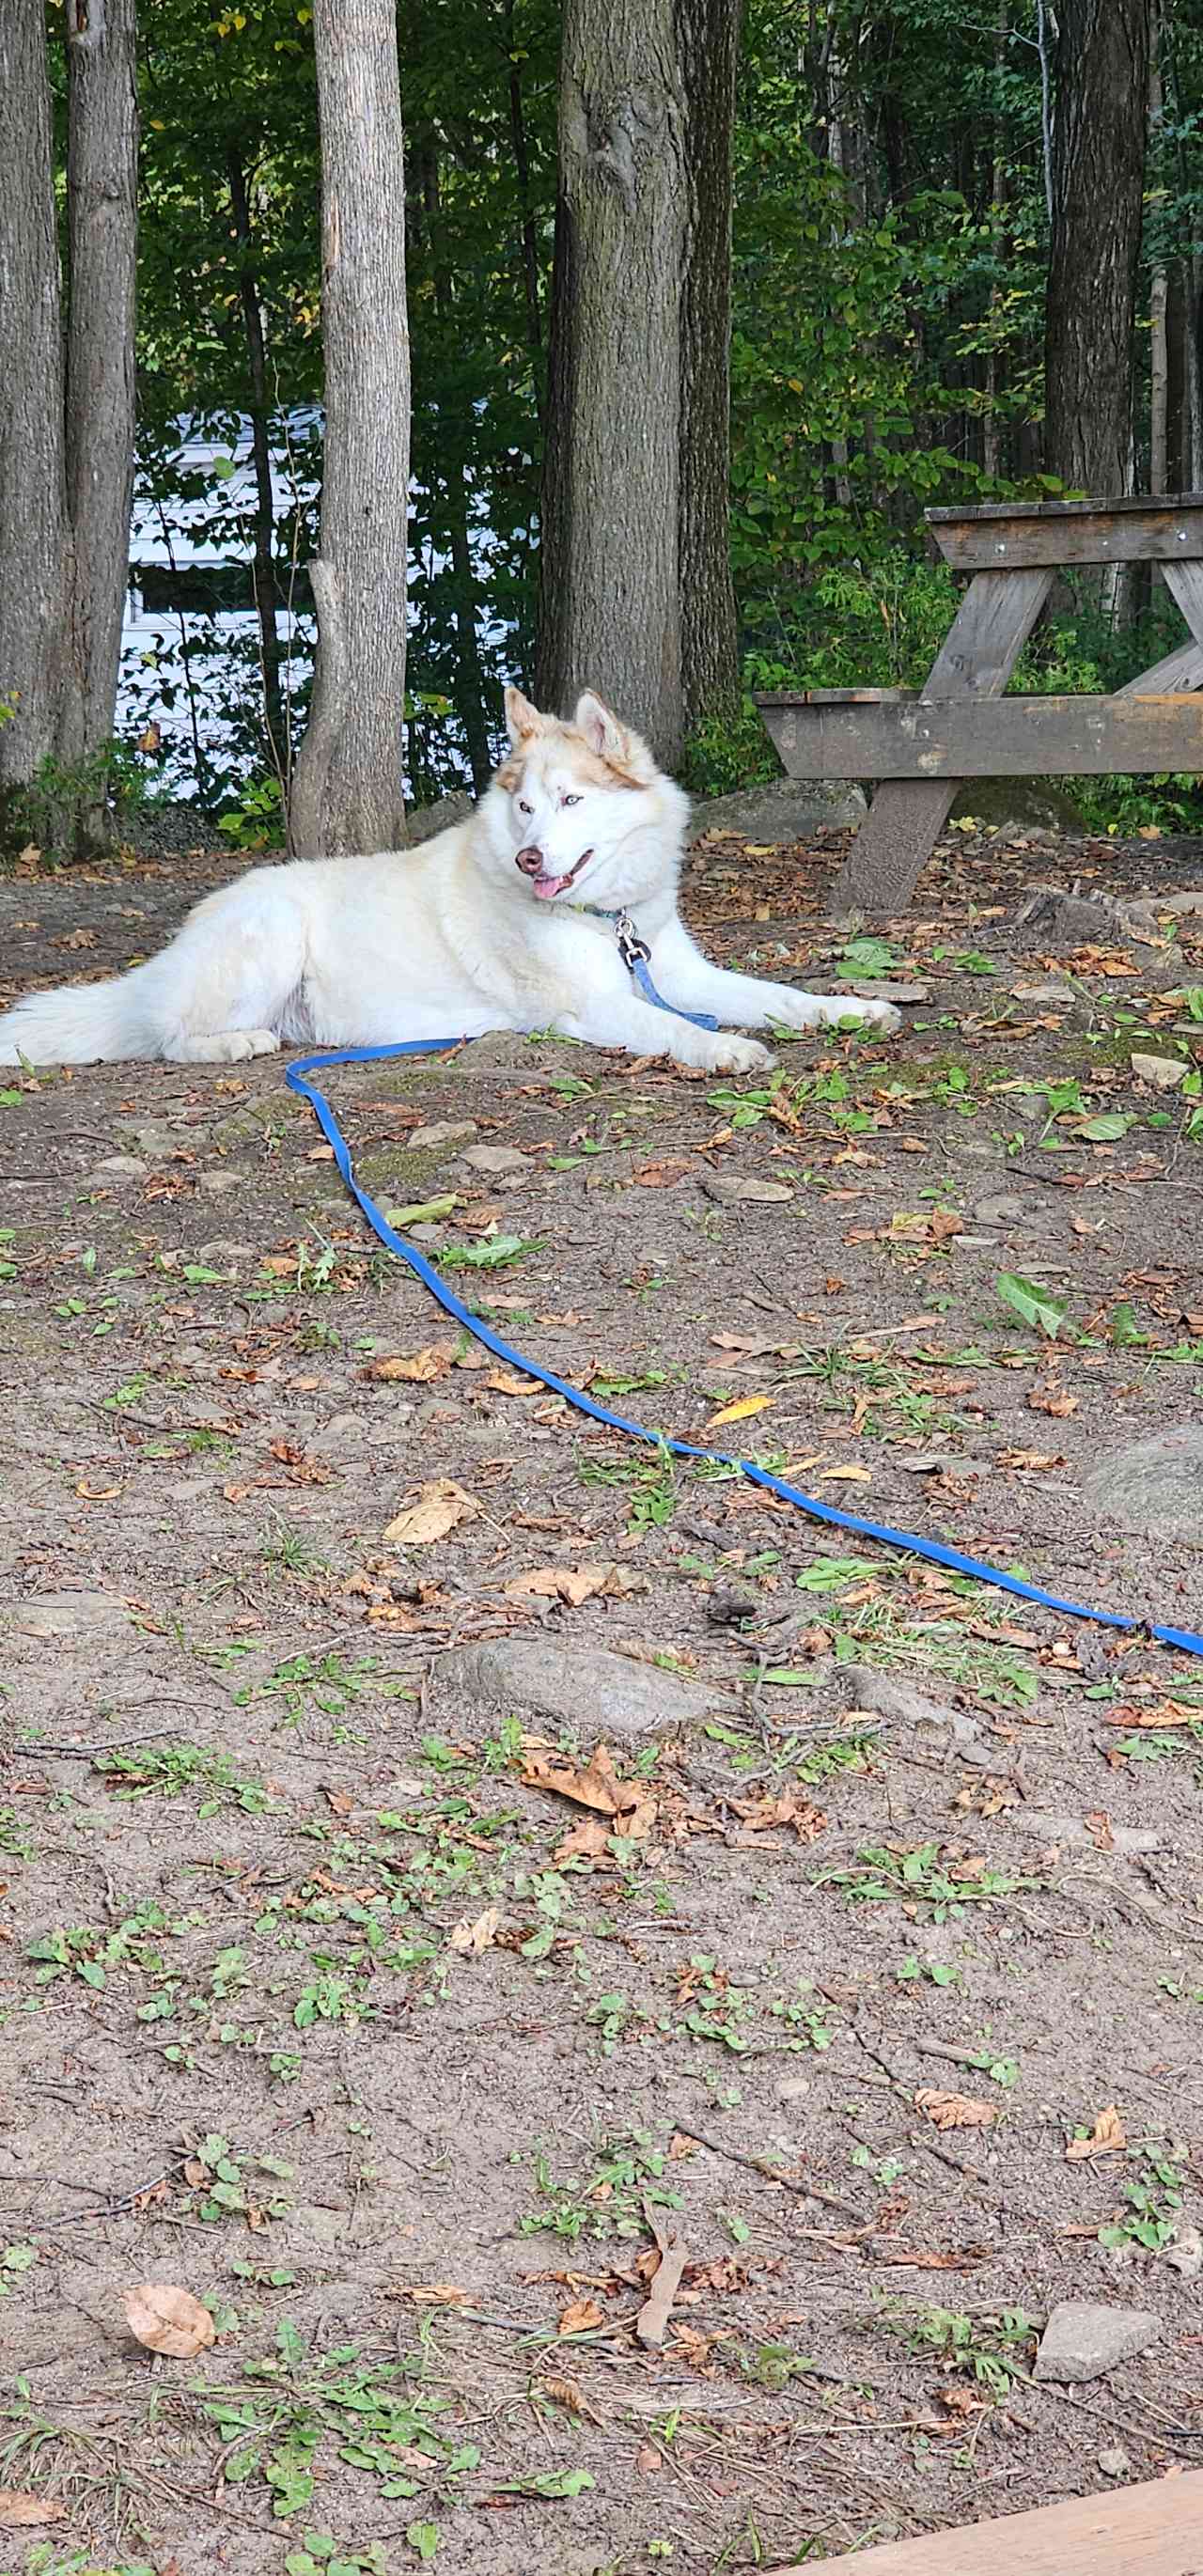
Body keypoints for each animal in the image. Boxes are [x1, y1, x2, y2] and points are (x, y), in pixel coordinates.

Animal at [0, 685, 901, 1076]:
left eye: (571, 801)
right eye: (526, 808)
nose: (532, 859)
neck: (602, 916)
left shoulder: (682, 972)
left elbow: (780, 994)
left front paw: (852, 1010)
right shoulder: (592, 1006)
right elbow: (675, 1026)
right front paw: (724, 1047)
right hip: (269, 941)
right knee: (170, 1037)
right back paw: (234, 1044)